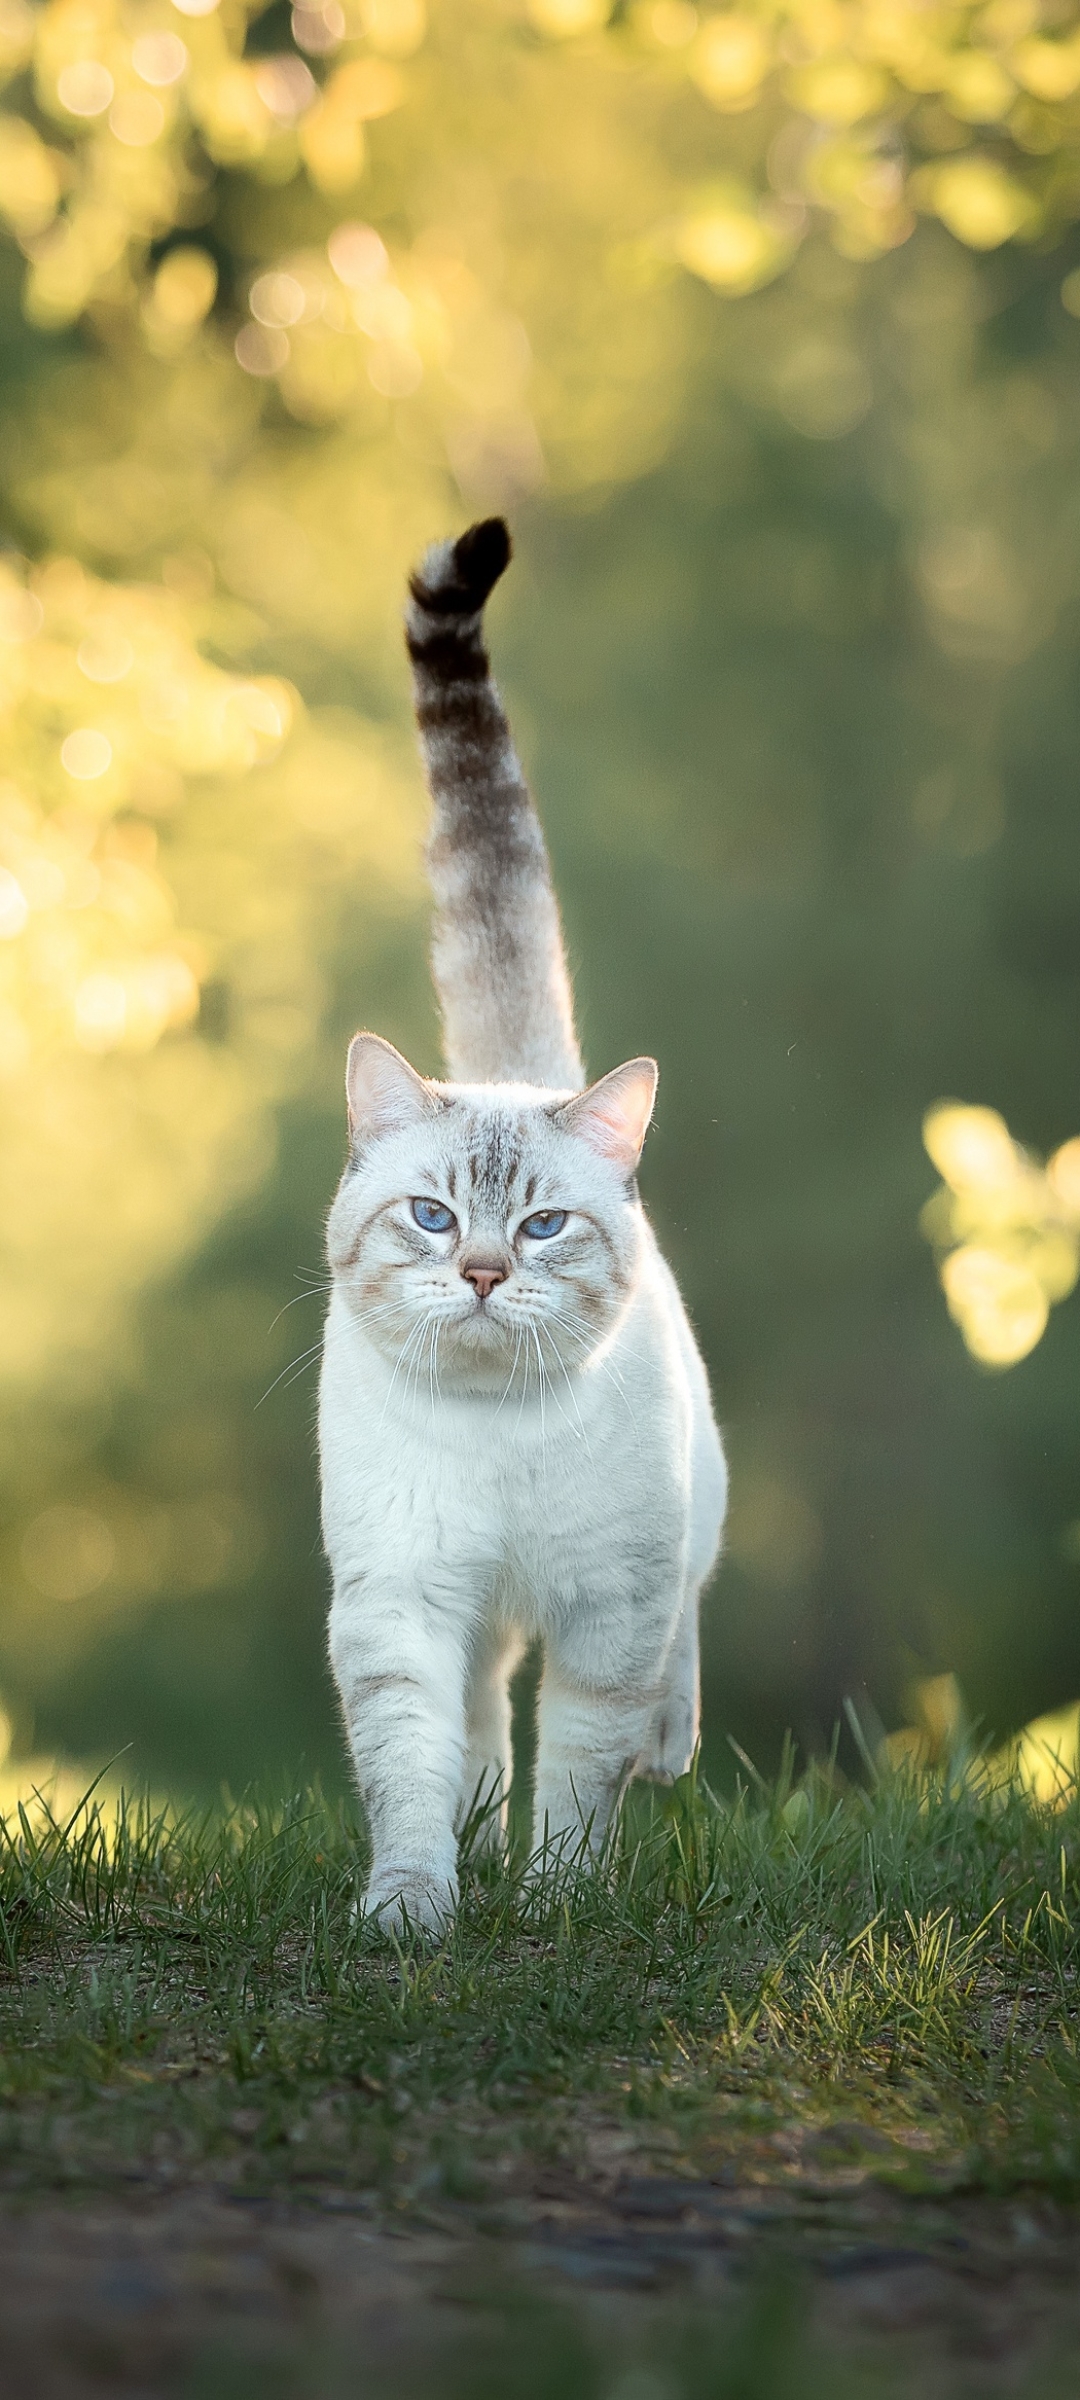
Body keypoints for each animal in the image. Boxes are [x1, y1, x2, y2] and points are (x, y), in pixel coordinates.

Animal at [321, 525, 724, 1929]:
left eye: (544, 1227)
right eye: (435, 1218)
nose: (490, 1273)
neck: (494, 1435)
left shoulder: (610, 1609)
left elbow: (586, 1771)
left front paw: (556, 1903)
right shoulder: (398, 1604)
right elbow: (411, 1767)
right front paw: (413, 1909)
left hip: (686, 1526)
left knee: (677, 1658)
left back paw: (666, 1752)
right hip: (470, 1618)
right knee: (485, 1720)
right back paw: (474, 1840)